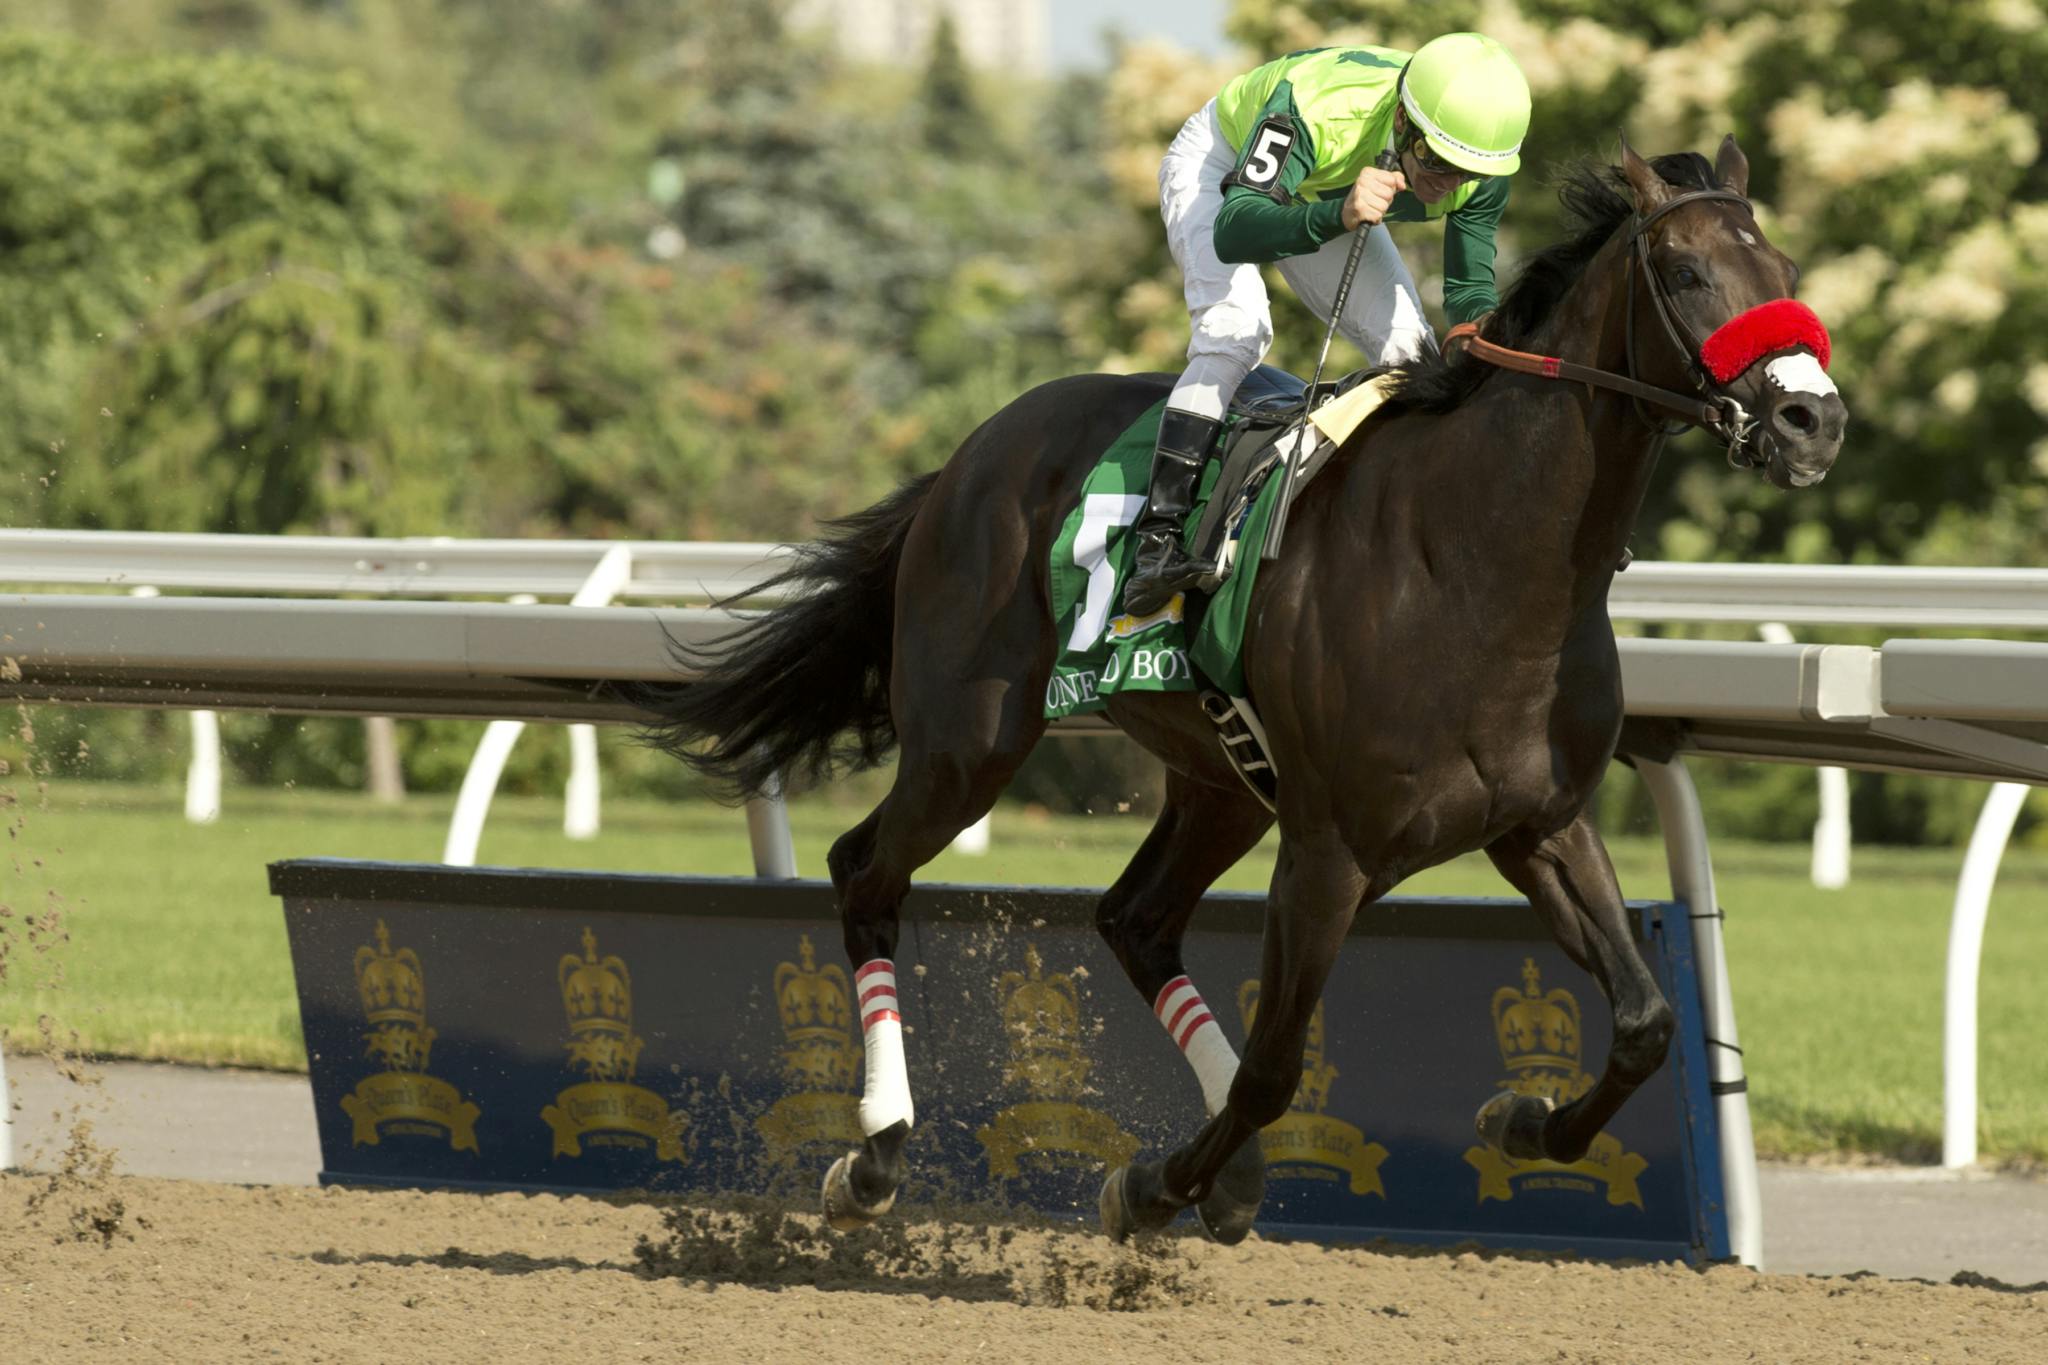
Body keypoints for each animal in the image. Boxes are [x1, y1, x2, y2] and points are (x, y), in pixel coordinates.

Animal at [626, 136, 1847, 1244]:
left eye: (1784, 266)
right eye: (1685, 273)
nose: (1812, 420)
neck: (1478, 567)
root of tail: (971, 452)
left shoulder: (1537, 823)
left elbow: (1645, 1021)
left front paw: (1521, 1121)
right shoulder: (1328, 853)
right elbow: (1274, 1068)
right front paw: (1150, 1184)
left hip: (1216, 780)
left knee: (1133, 919)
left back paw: (1223, 1171)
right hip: (968, 738)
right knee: (866, 875)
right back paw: (875, 1157)